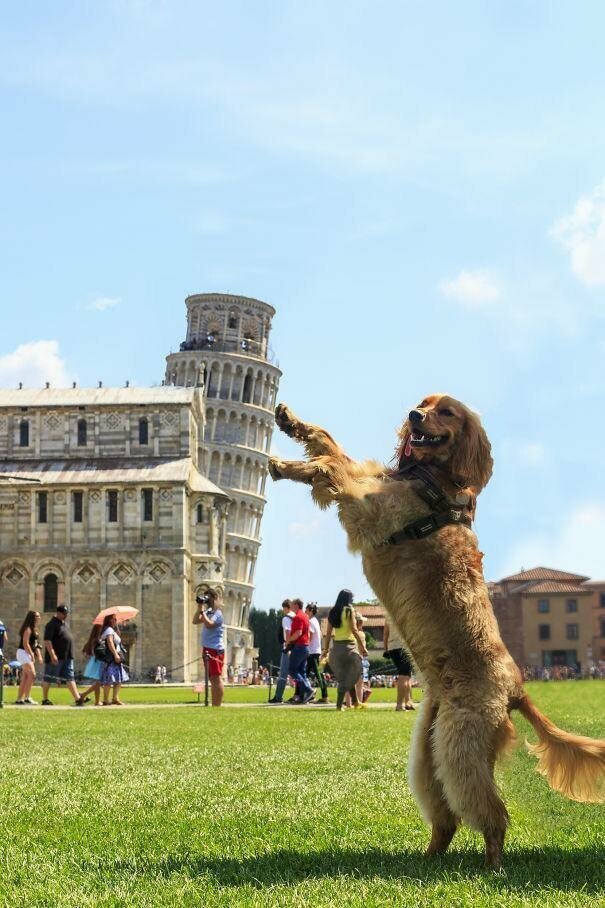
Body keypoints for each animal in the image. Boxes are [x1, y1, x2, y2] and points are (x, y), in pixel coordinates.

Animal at [270, 396, 604, 864]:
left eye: (447, 412)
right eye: (423, 403)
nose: (414, 415)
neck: (432, 482)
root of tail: (517, 688)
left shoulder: (368, 508)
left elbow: (331, 464)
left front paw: (289, 465)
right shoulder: (370, 486)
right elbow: (330, 444)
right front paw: (292, 425)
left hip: (460, 746)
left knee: (492, 814)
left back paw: (492, 867)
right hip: (428, 752)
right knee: (446, 819)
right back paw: (428, 858)